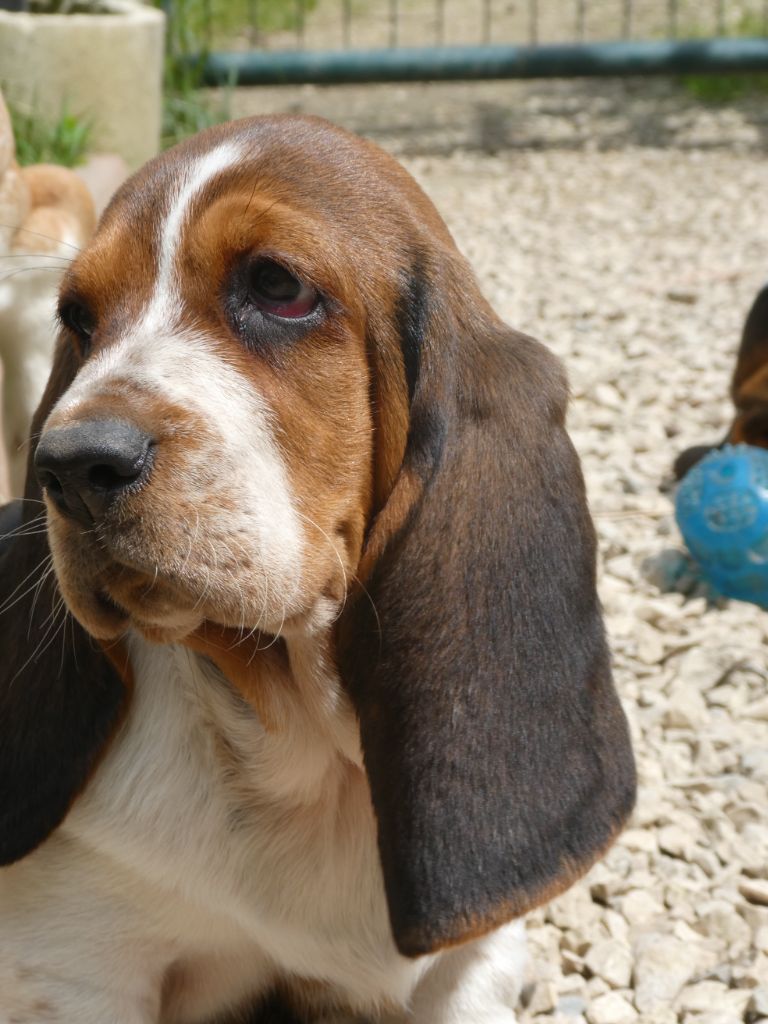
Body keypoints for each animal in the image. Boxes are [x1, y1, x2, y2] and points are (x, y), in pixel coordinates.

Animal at [0, 116, 638, 1019]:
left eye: (277, 286)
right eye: (78, 318)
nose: (72, 466)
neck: (303, 748)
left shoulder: (474, 963)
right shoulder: (74, 959)